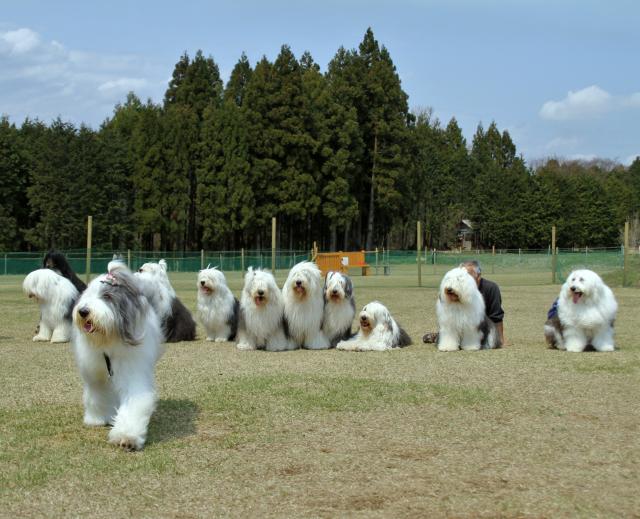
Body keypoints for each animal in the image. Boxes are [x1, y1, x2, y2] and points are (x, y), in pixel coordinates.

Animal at [72, 267, 164, 451]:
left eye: (107, 296)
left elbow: (133, 402)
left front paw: (127, 436)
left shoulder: (132, 373)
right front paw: (97, 419)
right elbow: (96, 395)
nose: (83, 311)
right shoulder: (96, 375)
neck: (108, 340)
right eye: (87, 294)